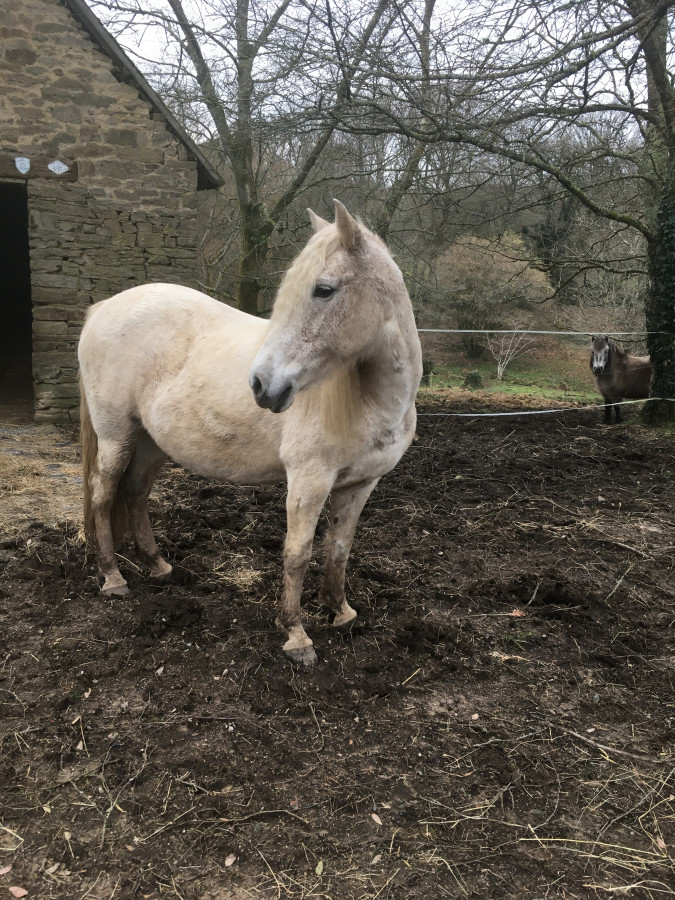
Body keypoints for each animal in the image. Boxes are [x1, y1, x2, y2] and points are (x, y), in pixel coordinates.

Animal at [78, 200, 423, 666]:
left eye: (324, 290)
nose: (261, 385)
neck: (371, 400)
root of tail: (103, 309)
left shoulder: (361, 484)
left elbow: (339, 548)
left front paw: (341, 613)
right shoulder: (309, 480)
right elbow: (298, 554)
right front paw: (296, 635)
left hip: (150, 442)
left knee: (135, 492)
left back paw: (158, 566)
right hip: (117, 434)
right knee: (102, 493)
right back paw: (113, 579)